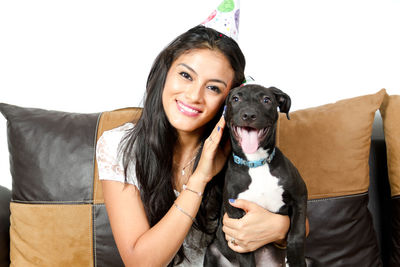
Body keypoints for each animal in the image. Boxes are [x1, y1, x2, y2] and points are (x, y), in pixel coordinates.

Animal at [205, 85, 308, 266]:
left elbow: (297, 234)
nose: (248, 115)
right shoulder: (238, 221)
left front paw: (295, 258)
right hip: (211, 252)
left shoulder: (300, 195)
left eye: (266, 100)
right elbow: (246, 258)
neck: (256, 163)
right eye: (236, 99)